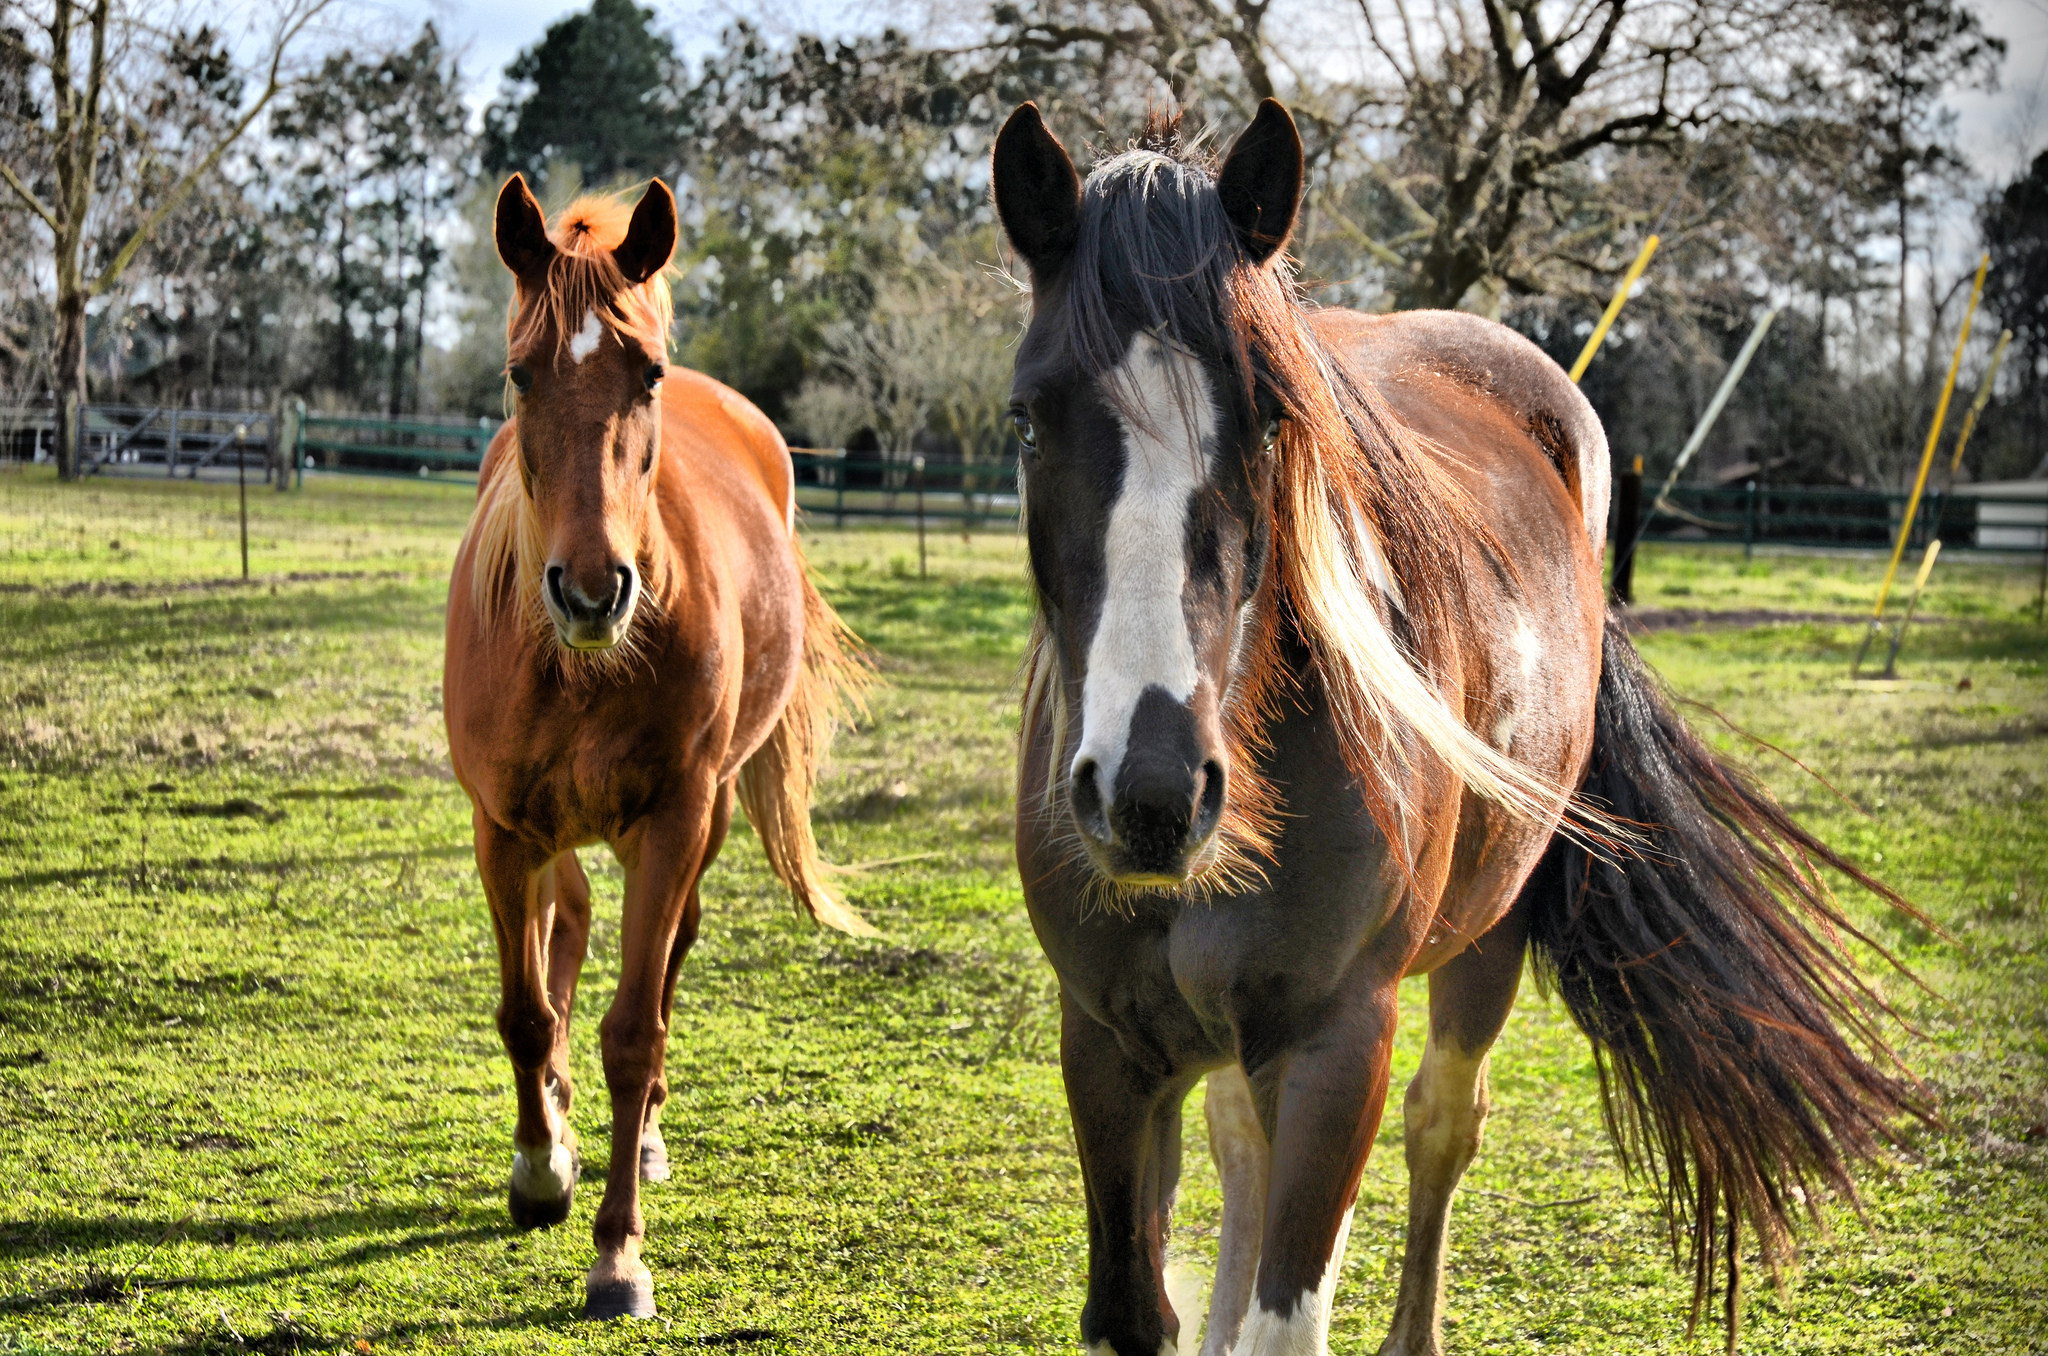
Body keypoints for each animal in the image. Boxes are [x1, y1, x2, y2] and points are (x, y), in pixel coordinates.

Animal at [444, 175, 868, 1319]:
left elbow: (634, 1029)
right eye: (519, 373)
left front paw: (617, 1255)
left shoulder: (673, 820)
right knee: (566, 933)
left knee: (667, 960)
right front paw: (538, 1166)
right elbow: (524, 1011)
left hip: (703, 819)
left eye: (647, 374)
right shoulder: (502, 828)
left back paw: (639, 1144)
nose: (592, 591)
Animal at [991, 106, 1916, 1356]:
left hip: (1488, 935)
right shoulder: (1103, 1048)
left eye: (1270, 417)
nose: (1148, 794)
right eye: (1027, 422)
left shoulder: (1337, 1043)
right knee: (1244, 1141)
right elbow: (1142, 1299)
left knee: (1441, 1120)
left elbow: (1299, 1294)